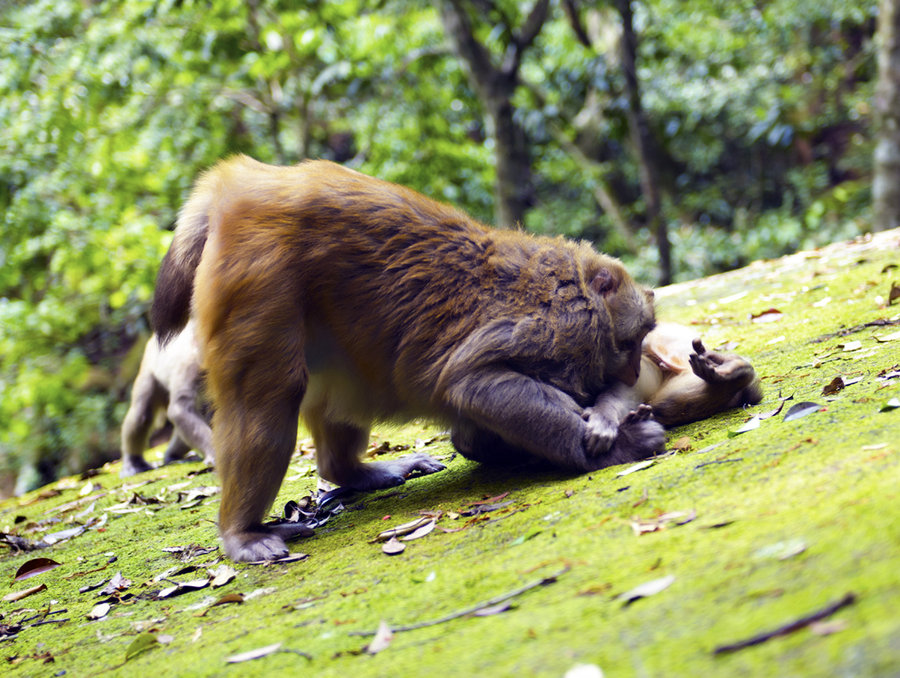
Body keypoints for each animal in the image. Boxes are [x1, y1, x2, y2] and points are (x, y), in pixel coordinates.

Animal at [119, 320, 213, 476]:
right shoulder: (192, 365)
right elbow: (180, 409)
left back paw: (172, 456)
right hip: (149, 366)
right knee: (142, 414)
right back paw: (133, 462)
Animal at [151, 158, 656, 564]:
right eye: (632, 341)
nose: (635, 370)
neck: (579, 289)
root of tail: (242, 181)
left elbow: (472, 432)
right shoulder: (558, 327)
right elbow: (473, 383)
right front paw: (620, 445)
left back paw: (352, 472)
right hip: (257, 273)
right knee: (268, 397)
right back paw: (241, 532)